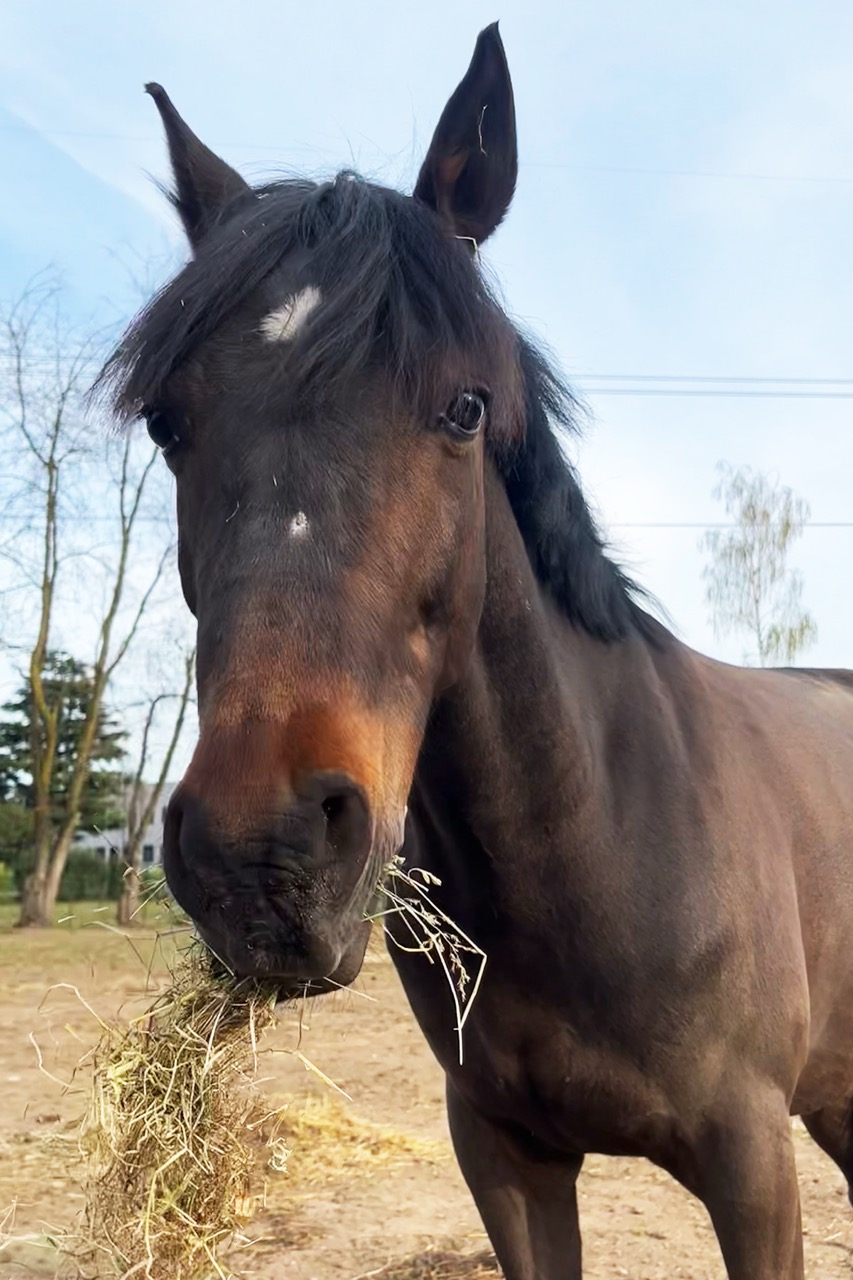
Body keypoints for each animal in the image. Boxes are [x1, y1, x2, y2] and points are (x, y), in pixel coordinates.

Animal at [97, 24, 853, 1278]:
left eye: (464, 407)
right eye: (168, 424)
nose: (263, 854)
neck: (605, 833)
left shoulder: (753, 1165)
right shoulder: (506, 1157)